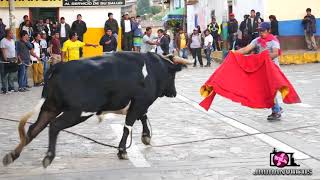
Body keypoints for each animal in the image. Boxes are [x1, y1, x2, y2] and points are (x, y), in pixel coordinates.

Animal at [1, 51, 190, 168]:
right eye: (173, 75)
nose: (174, 92)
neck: (153, 69)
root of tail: (59, 66)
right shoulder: (140, 102)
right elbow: (128, 126)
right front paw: (122, 151)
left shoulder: (138, 104)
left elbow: (142, 118)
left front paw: (146, 137)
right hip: (77, 111)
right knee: (54, 126)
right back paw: (48, 156)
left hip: (50, 107)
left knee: (34, 129)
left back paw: (12, 155)